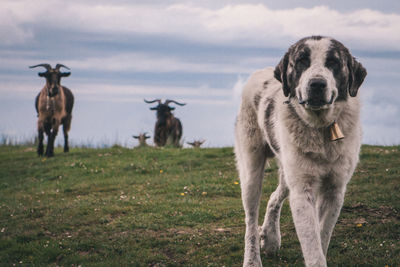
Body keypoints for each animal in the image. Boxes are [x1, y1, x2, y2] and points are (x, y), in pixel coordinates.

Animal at [234, 37, 368, 267]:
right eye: (302, 61)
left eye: (333, 62)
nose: (317, 84)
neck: (320, 129)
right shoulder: (302, 191)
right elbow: (312, 245)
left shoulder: (334, 190)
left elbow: (322, 237)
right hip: (252, 171)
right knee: (250, 219)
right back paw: (252, 259)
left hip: (287, 170)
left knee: (274, 196)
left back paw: (270, 238)